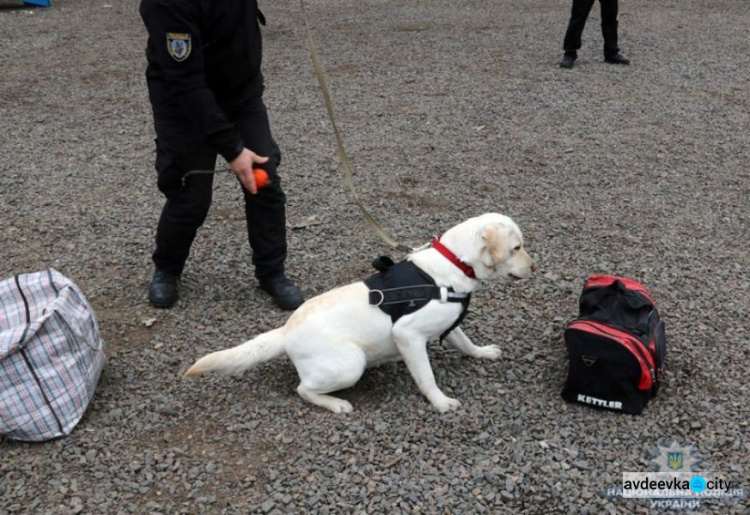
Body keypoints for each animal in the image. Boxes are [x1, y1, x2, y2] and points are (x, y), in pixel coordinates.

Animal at [185, 214, 536, 416]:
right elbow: (426, 377)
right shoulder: (408, 335)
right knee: (303, 390)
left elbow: (466, 342)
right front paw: (439, 402)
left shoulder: (448, 323)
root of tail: (285, 331)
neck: (453, 263)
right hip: (350, 364)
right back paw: (336, 404)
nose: (534, 267)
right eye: (517, 247)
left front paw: (483, 352)